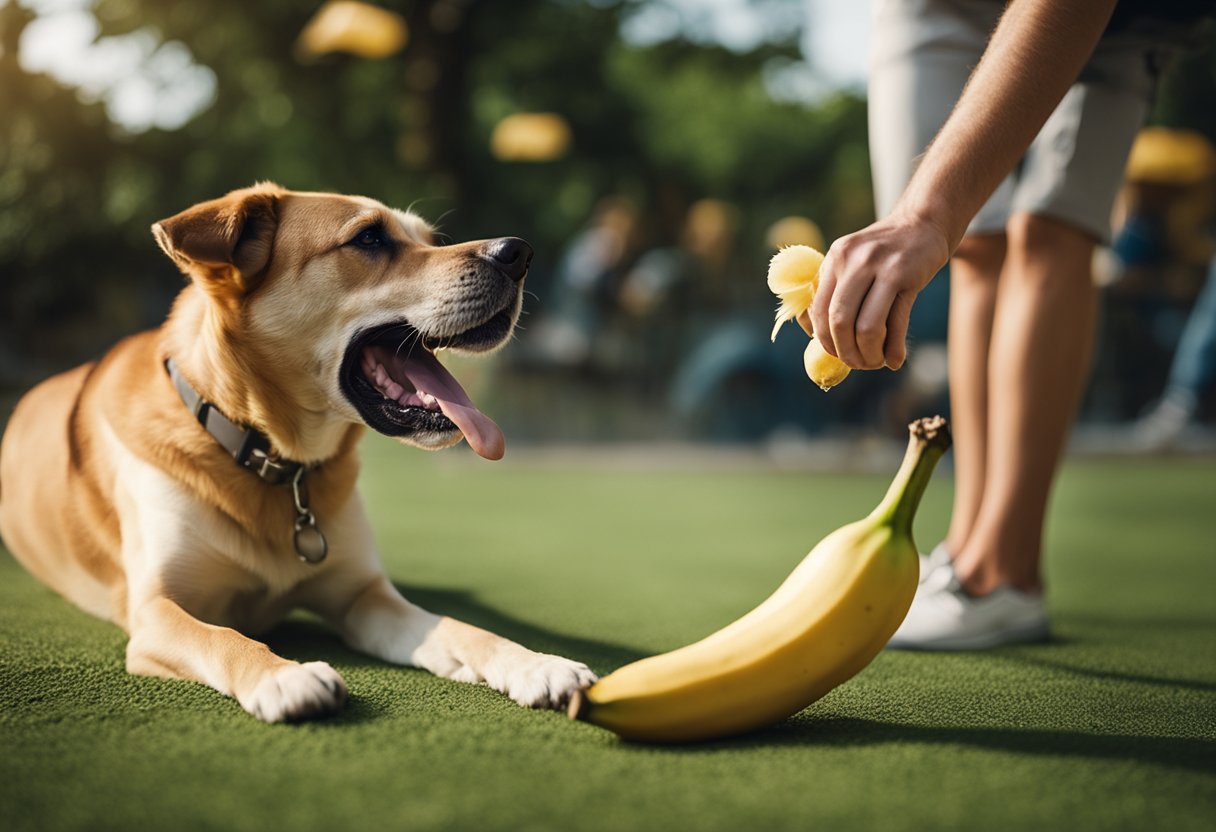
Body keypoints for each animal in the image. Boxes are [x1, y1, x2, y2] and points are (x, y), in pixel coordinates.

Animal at [0, 182, 595, 720]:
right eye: (369, 237)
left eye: (428, 239)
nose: (518, 253)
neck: (274, 462)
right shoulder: (156, 611)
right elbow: (222, 637)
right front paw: (282, 676)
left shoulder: (365, 597)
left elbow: (463, 629)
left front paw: (537, 663)